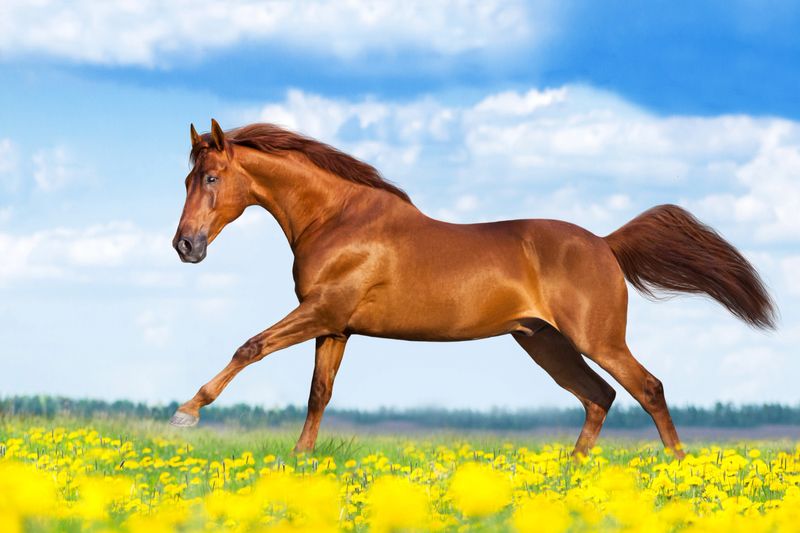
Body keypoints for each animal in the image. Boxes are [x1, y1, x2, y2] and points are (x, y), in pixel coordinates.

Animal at [170, 119, 776, 457]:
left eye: (211, 178)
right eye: (187, 178)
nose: (186, 247)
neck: (338, 220)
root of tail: (605, 244)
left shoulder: (321, 312)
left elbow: (249, 346)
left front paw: (186, 413)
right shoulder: (336, 327)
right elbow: (319, 393)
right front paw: (300, 459)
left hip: (596, 339)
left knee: (646, 389)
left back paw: (676, 469)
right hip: (543, 341)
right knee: (598, 396)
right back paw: (569, 474)